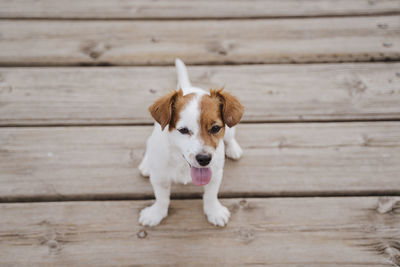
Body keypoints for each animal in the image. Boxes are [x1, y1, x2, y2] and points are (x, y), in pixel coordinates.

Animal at [138, 59, 244, 227]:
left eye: (215, 128)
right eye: (183, 130)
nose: (204, 159)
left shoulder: (215, 175)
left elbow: (211, 195)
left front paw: (214, 211)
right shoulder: (159, 178)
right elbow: (161, 199)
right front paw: (155, 213)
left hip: (230, 129)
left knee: (230, 137)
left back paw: (234, 149)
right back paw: (146, 164)